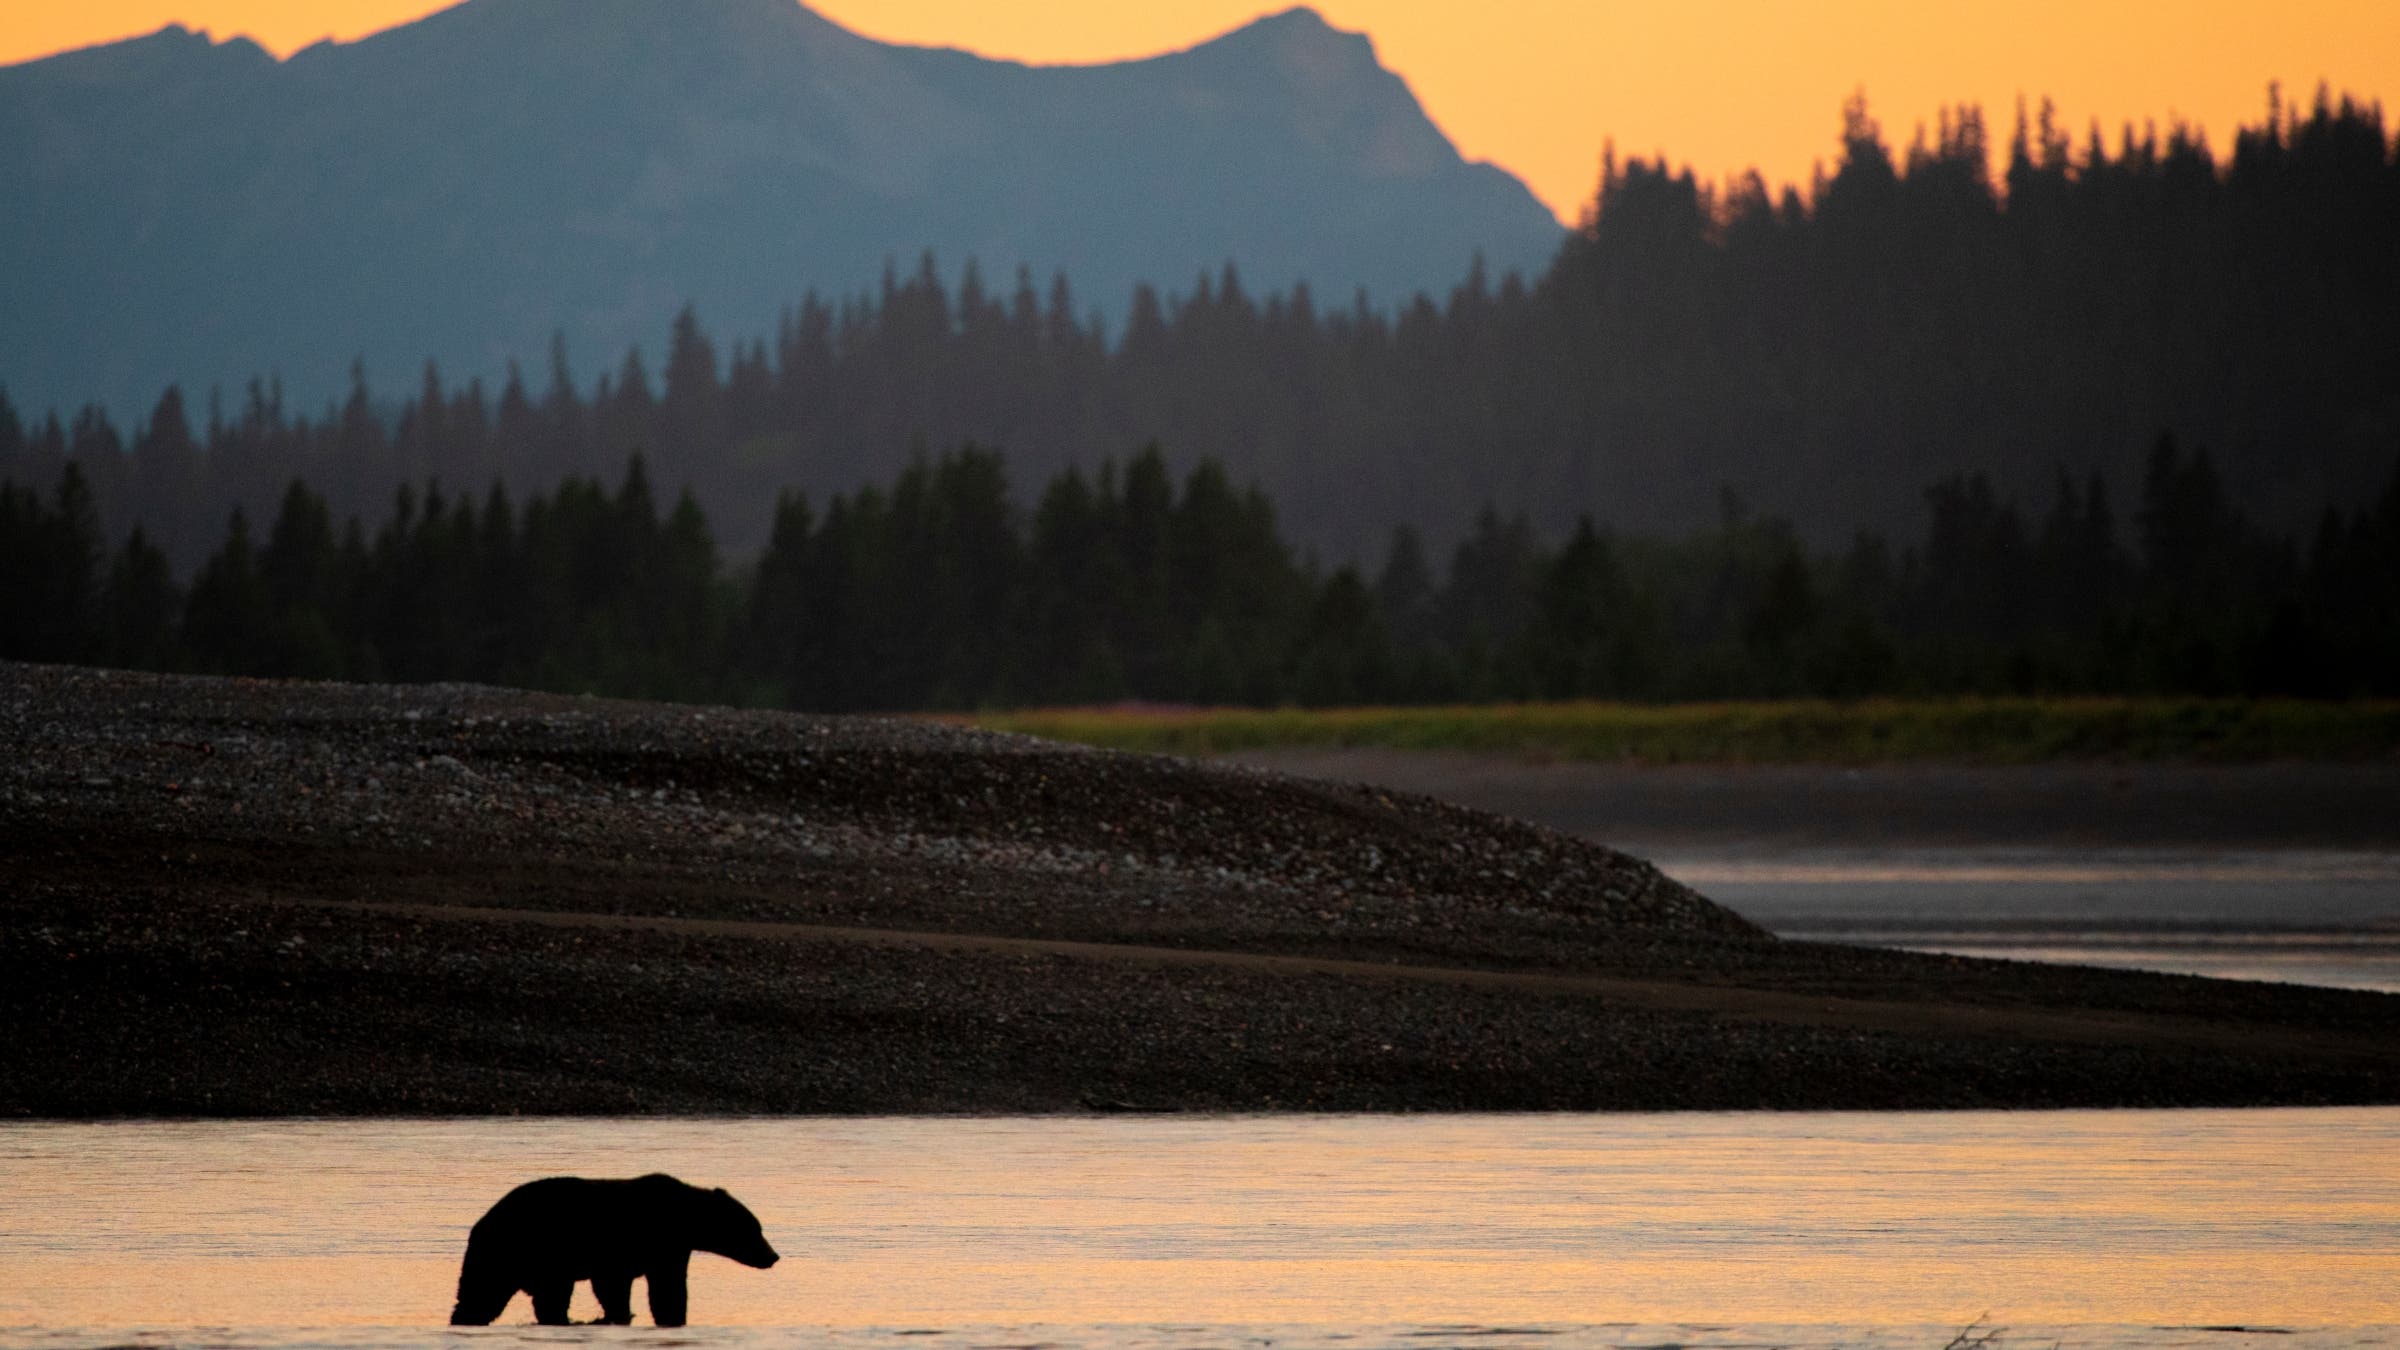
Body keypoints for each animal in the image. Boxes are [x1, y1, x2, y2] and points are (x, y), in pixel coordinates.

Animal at [448, 1173, 778, 1326]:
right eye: (755, 1229)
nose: (772, 1256)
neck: (684, 1217)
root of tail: (482, 1222)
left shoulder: (669, 1248)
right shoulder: (650, 1243)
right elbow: (657, 1287)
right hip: (518, 1249)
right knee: (489, 1291)